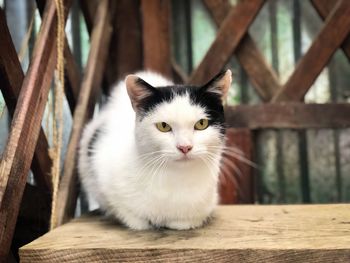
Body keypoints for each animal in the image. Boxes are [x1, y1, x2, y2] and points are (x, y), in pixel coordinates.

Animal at [79, 70, 232, 231]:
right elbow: (128, 213)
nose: (184, 147)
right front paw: (140, 223)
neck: (176, 178)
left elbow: (185, 222)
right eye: (163, 126)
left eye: (201, 123)